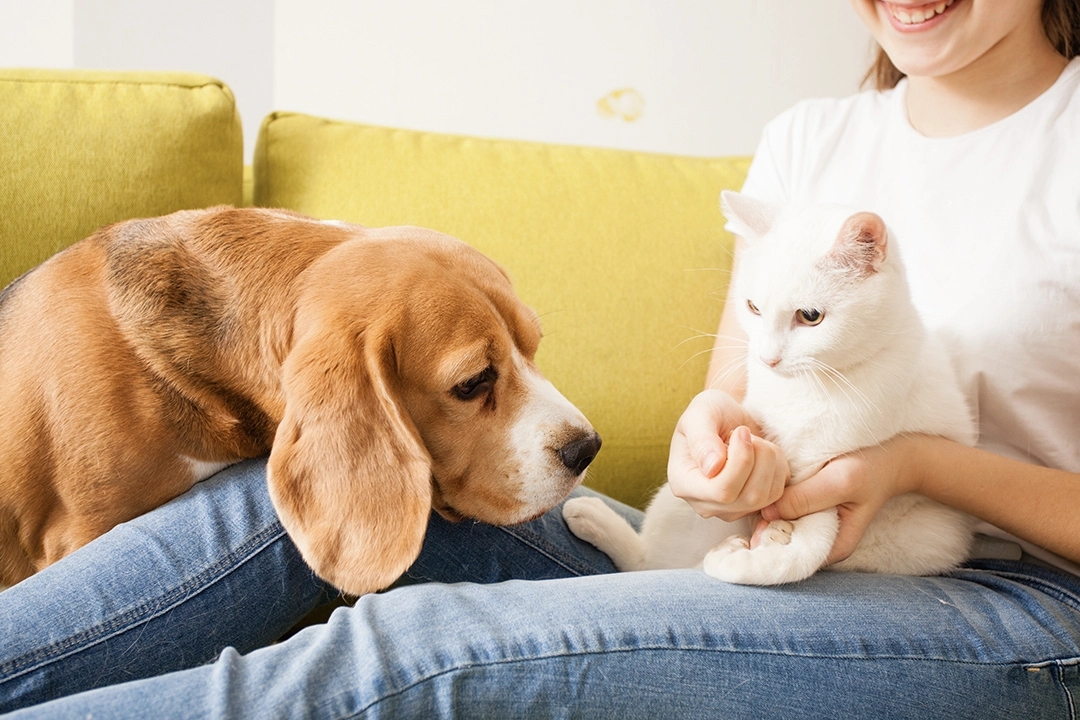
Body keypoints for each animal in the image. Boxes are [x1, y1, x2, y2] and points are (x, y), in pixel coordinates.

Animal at [565, 191, 980, 587]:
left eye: (810, 316)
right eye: (753, 307)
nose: (767, 358)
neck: (809, 387)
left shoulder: (829, 474)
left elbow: (812, 545)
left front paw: (757, 559)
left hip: (921, 540)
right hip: (675, 504)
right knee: (648, 563)